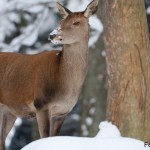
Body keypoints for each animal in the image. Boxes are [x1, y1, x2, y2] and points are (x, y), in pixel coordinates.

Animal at [0, 0, 98, 149]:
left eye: (76, 22)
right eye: (61, 22)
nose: (52, 35)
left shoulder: (63, 111)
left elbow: (54, 137)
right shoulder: (41, 103)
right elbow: (44, 137)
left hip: (9, 111)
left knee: (2, 138)